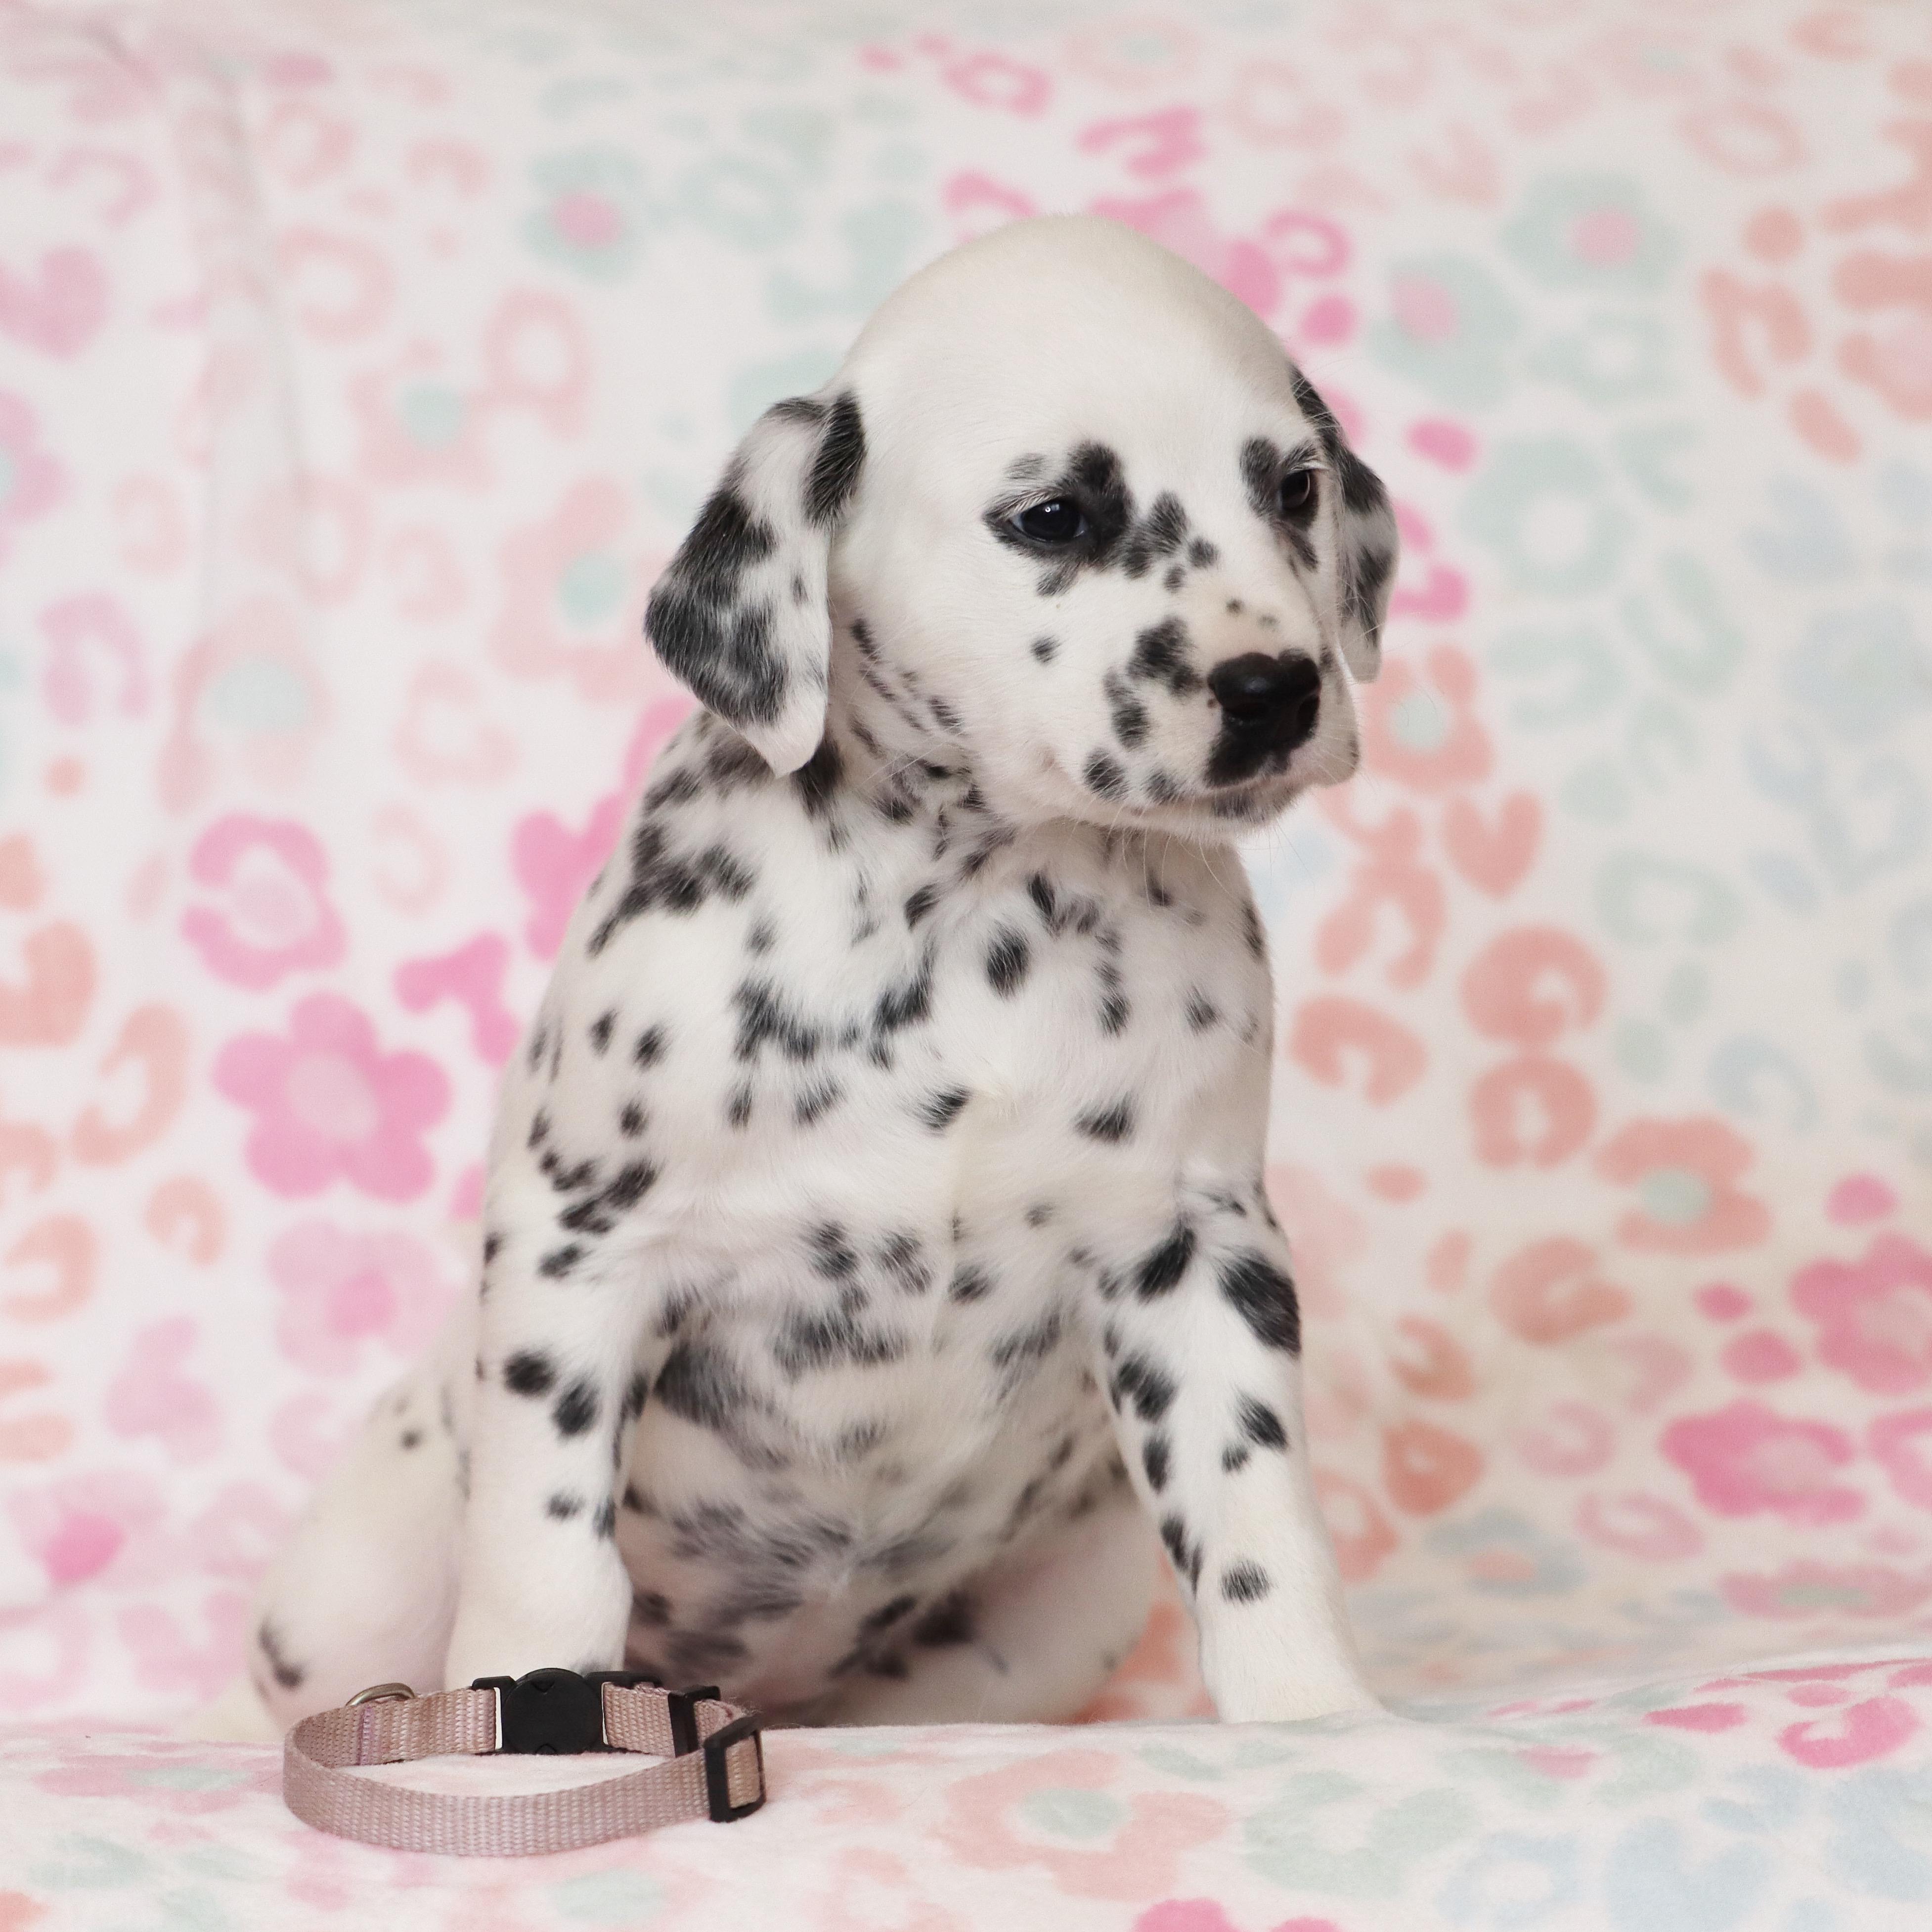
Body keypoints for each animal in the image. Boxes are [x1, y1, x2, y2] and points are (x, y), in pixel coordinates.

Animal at [224, 214, 1398, 1740]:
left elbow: (1257, 1516)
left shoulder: (1198, 1250)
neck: (977, 912)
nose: (1274, 687)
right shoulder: (584, 1244)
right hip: (350, 1582)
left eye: (1294, 488)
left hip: (1055, 1625)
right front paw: (533, 1716)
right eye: (1055, 518)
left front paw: (1316, 1712)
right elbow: (548, 1550)